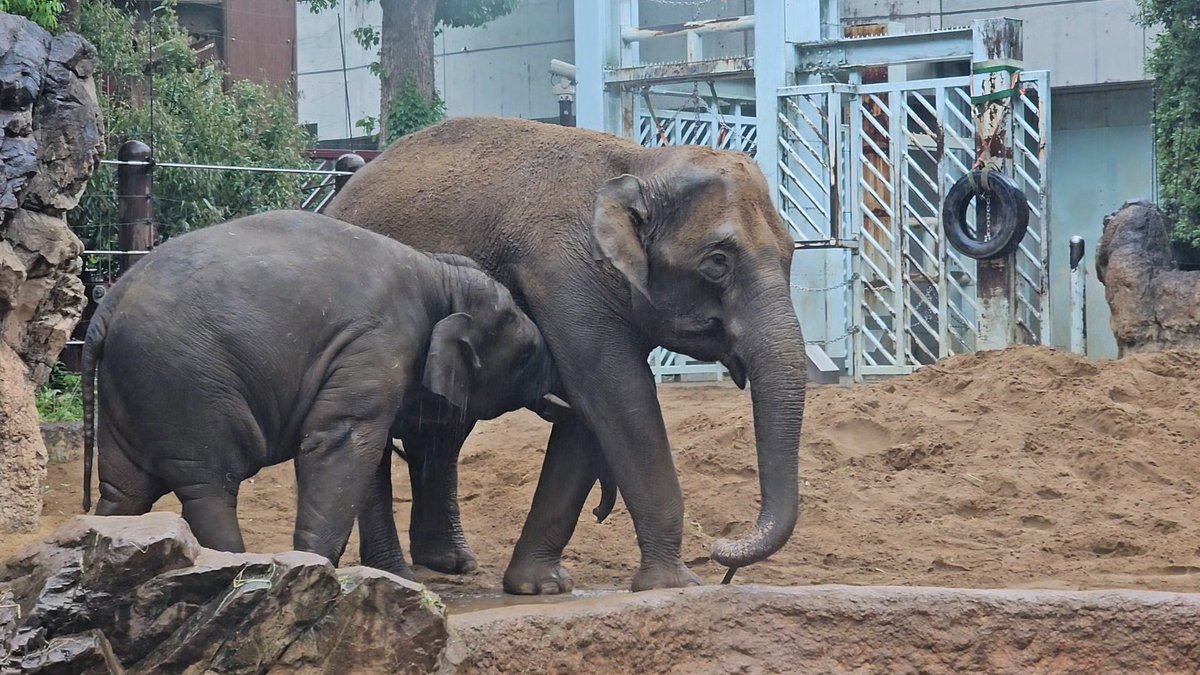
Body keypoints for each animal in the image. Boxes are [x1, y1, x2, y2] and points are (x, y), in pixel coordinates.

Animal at [79, 207, 566, 569]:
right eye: (526, 355)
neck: (439, 272)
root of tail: (106, 308)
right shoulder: (375, 347)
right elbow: (342, 441)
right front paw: (315, 566)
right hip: (187, 389)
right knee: (210, 487)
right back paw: (234, 564)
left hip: (132, 389)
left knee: (124, 491)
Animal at [326, 117, 806, 593]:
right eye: (717, 261)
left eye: (791, 253)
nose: (722, 551)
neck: (641, 166)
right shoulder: (564, 273)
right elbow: (617, 395)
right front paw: (676, 585)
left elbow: (589, 413)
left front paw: (539, 587)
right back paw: (401, 573)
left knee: (446, 428)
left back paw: (448, 563)